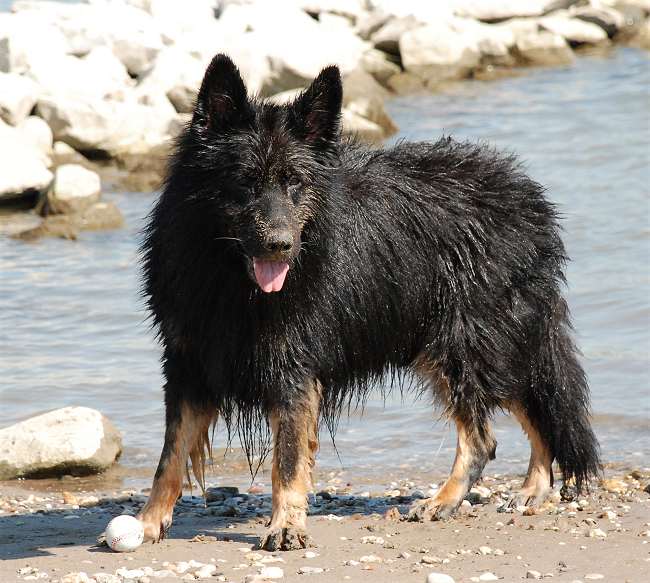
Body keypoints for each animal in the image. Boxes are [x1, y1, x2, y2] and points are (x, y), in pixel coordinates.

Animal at [137, 54, 600, 550]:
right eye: (245, 183)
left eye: (295, 183)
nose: (281, 246)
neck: (229, 277)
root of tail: (530, 201)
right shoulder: (188, 363)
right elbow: (169, 455)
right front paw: (147, 522)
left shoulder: (293, 369)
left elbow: (287, 460)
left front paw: (285, 525)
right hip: (465, 345)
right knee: (533, 407)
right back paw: (533, 486)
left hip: (466, 345)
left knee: (492, 432)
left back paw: (453, 498)